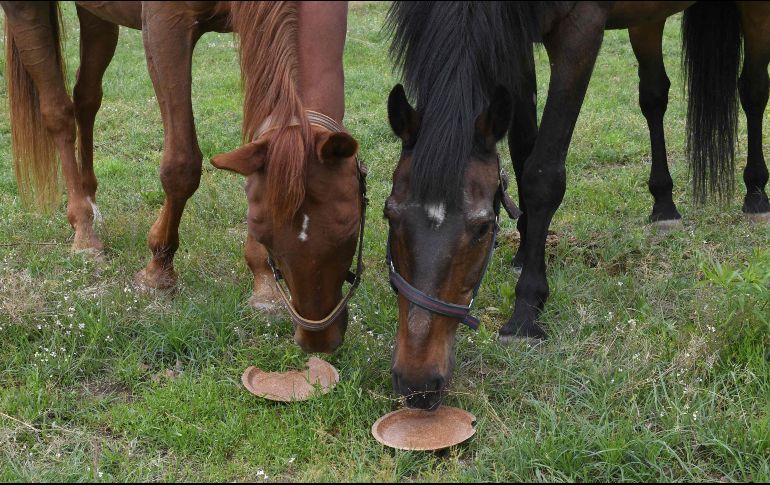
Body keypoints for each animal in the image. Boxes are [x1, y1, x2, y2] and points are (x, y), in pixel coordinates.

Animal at [1, 1, 365, 353]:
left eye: (351, 227)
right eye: (266, 233)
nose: (318, 341)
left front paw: (263, 284)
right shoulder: (166, 25)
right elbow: (181, 166)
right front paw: (157, 272)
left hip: (96, 15)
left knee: (86, 98)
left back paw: (91, 202)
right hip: (25, 10)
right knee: (57, 112)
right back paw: (84, 231)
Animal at [383, 1, 769, 410]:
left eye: (483, 228)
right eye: (389, 214)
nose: (417, 384)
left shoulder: (578, 36)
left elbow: (543, 174)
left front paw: (525, 311)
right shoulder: (518, 45)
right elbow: (523, 150)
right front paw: (524, 252)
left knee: (753, 88)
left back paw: (756, 195)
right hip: (647, 19)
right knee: (654, 94)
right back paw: (664, 205)